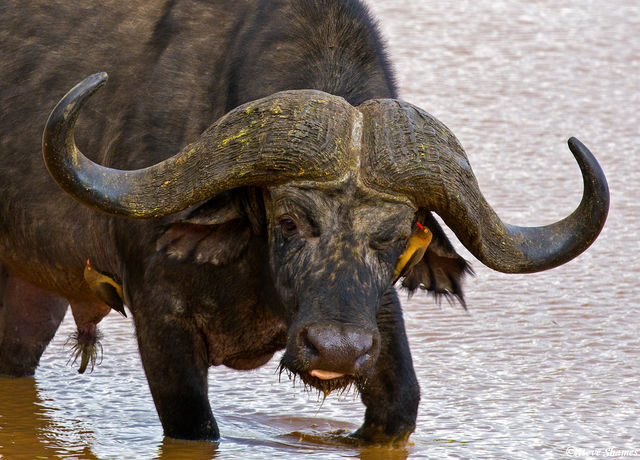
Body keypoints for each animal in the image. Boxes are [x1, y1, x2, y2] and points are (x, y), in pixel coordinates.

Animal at [0, 0, 608, 443]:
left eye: (394, 237)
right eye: (290, 221)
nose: (336, 351)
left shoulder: (376, 318)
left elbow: (399, 405)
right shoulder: (159, 319)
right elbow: (196, 426)